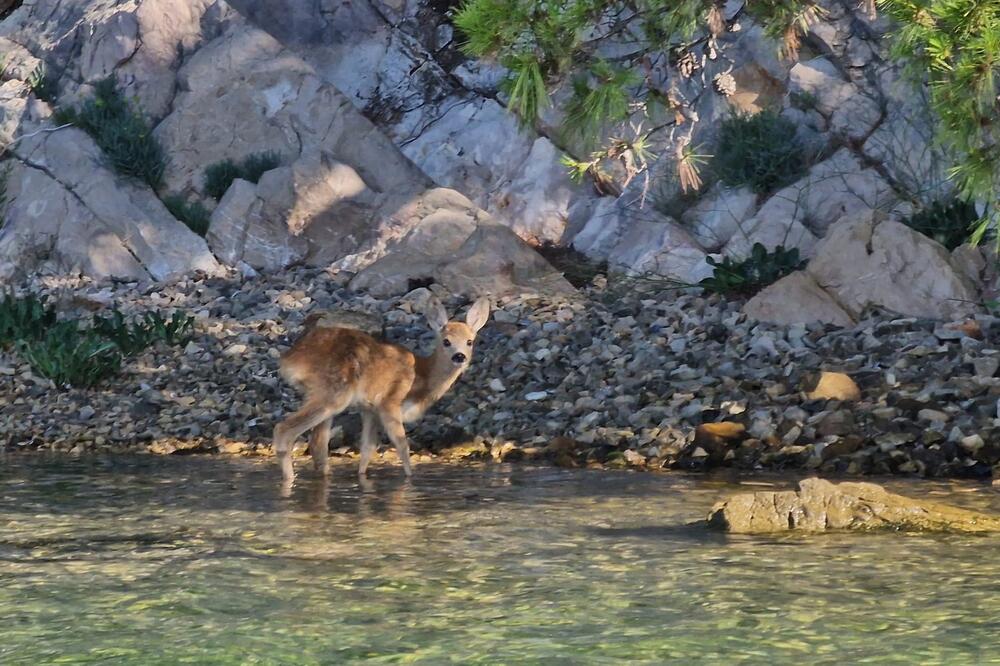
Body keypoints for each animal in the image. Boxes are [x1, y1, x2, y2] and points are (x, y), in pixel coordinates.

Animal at [274, 294, 492, 478]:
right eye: (446, 341)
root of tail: (289, 360)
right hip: (333, 392)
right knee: (284, 430)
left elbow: (367, 449)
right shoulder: (390, 401)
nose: (459, 356)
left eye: (470, 341)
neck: (421, 377)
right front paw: (410, 479)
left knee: (318, 443)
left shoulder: (370, 409)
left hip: (324, 395)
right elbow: (402, 446)